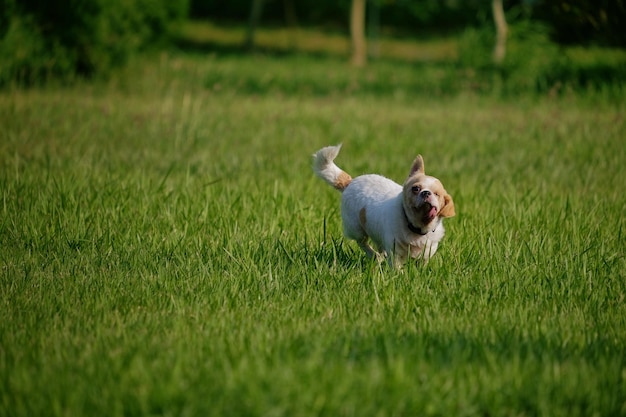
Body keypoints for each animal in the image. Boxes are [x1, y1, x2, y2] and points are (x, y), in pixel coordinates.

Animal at [312, 143, 454, 266]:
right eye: (415, 189)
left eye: (437, 194)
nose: (426, 193)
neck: (417, 228)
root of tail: (350, 182)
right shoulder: (395, 253)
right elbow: (397, 269)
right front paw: (400, 278)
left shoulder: (426, 254)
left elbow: (422, 266)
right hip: (356, 229)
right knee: (362, 242)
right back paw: (374, 256)